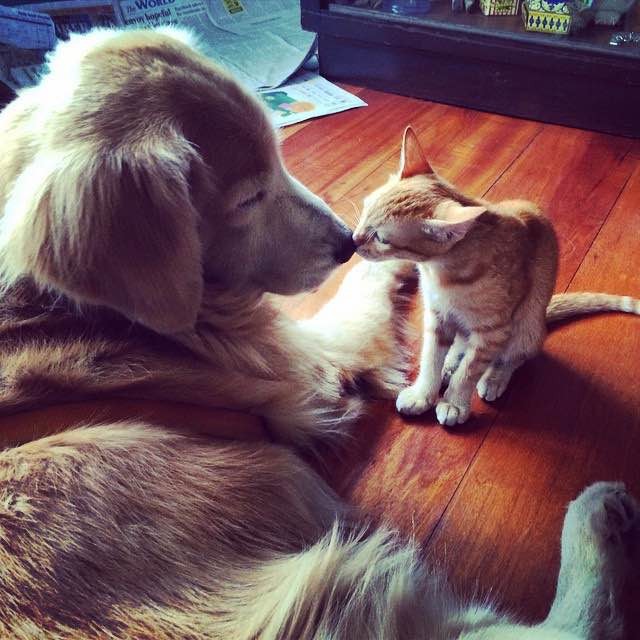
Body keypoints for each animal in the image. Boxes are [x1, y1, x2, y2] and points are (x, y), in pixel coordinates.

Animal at [356, 126, 640, 424]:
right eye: (365, 209)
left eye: (382, 239)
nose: (353, 240)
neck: (438, 270)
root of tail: (543, 319)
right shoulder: (437, 316)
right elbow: (431, 357)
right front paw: (424, 392)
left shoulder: (493, 330)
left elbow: (470, 370)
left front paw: (455, 402)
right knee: (461, 345)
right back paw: (450, 363)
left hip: (526, 324)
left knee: (514, 356)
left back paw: (494, 377)